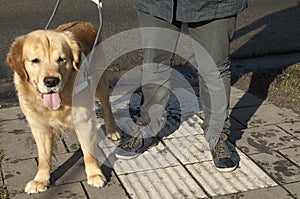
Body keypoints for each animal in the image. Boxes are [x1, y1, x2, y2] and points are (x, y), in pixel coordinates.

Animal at [6, 21, 120, 194]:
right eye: (35, 60)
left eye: (61, 59)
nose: (51, 81)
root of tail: (84, 22)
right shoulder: (39, 126)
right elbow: (43, 157)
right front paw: (41, 180)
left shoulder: (84, 121)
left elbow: (88, 152)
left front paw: (94, 174)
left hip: (101, 83)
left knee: (106, 106)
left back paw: (112, 130)